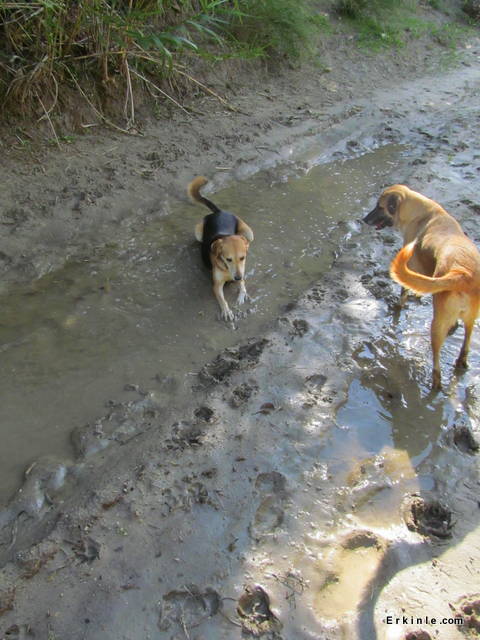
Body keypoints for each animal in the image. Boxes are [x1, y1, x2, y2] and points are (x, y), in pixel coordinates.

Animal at [188, 175, 253, 322]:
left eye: (242, 258)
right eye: (228, 259)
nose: (237, 278)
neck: (227, 269)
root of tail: (219, 212)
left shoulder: (242, 272)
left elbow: (243, 284)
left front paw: (242, 294)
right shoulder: (216, 285)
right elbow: (223, 300)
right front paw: (227, 311)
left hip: (250, 233)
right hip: (198, 232)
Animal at [364, 182, 480, 388]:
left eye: (380, 207)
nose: (363, 220)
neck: (422, 213)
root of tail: (462, 274)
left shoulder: (410, 266)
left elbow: (404, 292)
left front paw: (399, 305)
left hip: (437, 324)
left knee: (437, 365)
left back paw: (435, 382)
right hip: (471, 320)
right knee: (466, 343)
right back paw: (461, 360)